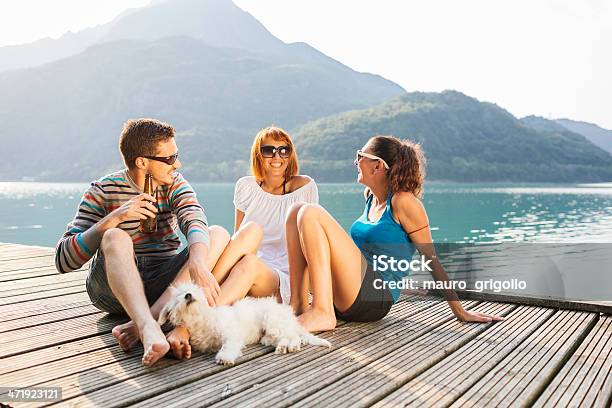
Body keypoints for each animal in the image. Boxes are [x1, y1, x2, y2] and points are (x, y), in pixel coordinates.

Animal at [158, 282, 330, 364]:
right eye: (178, 296)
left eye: (195, 291)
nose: (188, 295)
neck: (200, 319)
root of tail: (290, 317)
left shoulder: (231, 335)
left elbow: (228, 346)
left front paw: (225, 357)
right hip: (273, 331)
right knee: (284, 338)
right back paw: (281, 347)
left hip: (272, 321)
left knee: (294, 337)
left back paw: (291, 346)